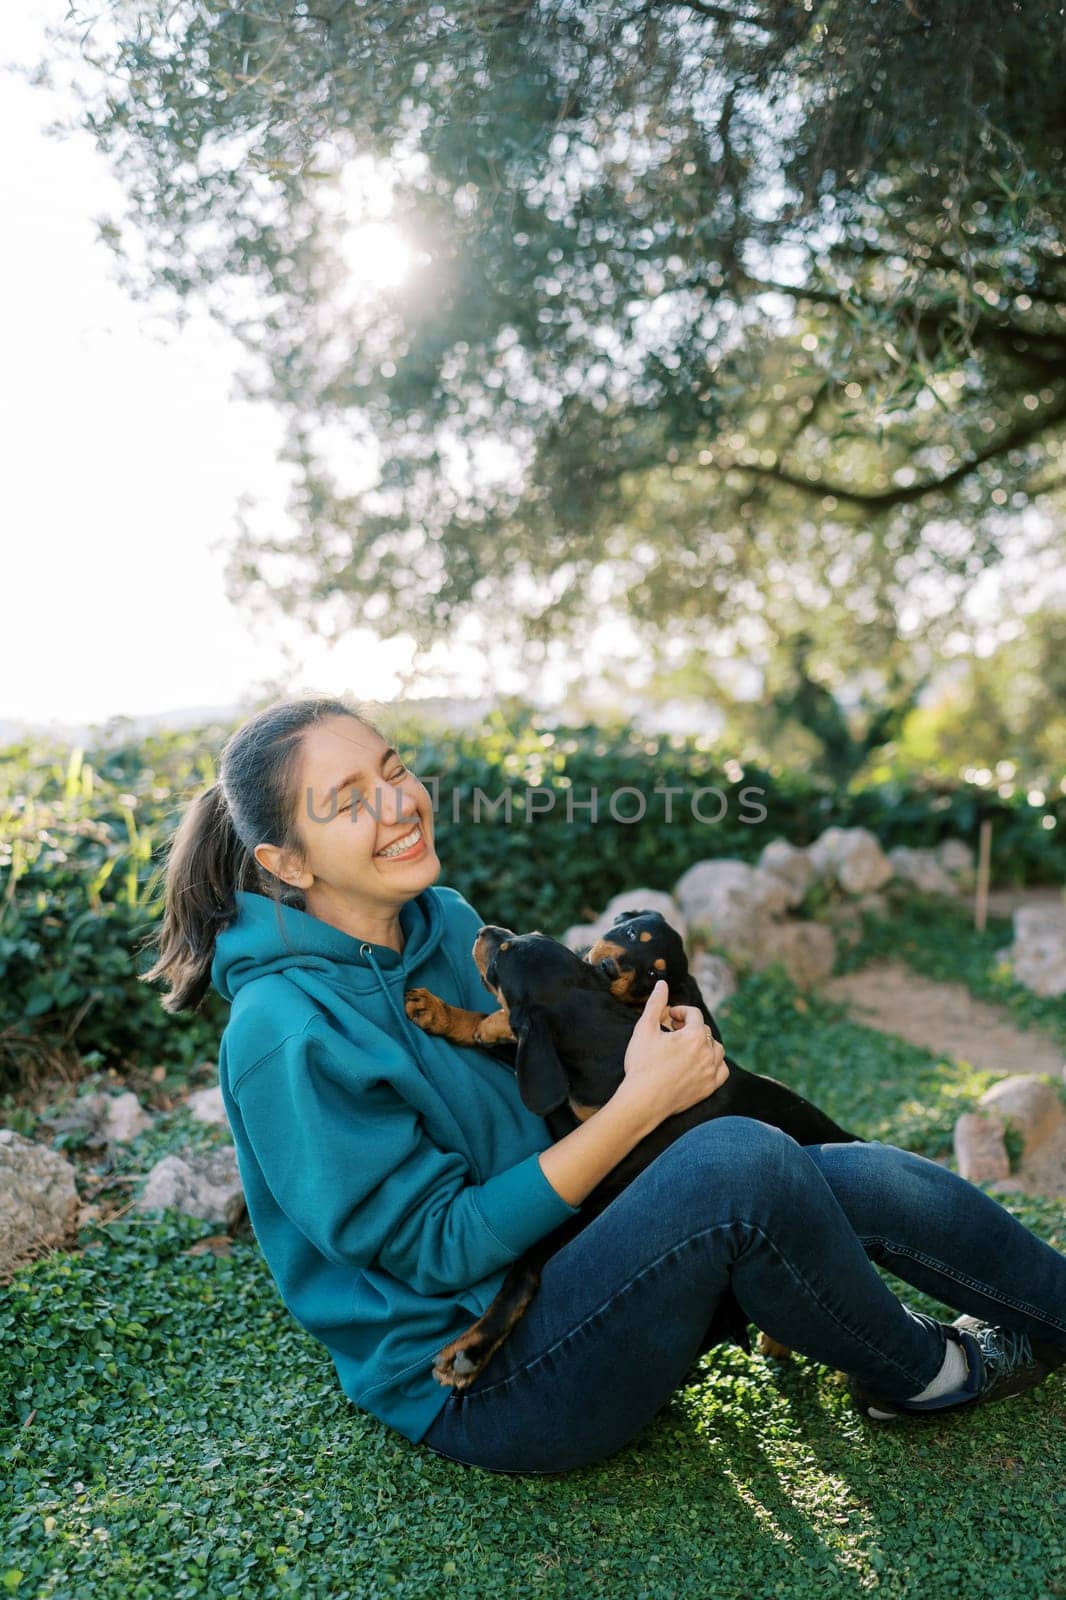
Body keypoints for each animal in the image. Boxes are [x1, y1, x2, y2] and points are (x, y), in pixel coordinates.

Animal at [403, 915, 857, 1388]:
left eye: (503, 957)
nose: (485, 930)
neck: (604, 1044)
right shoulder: (562, 1099)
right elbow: (510, 1043)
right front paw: (442, 1014)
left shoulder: (603, 1189)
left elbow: (529, 1261)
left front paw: (470, 1349)